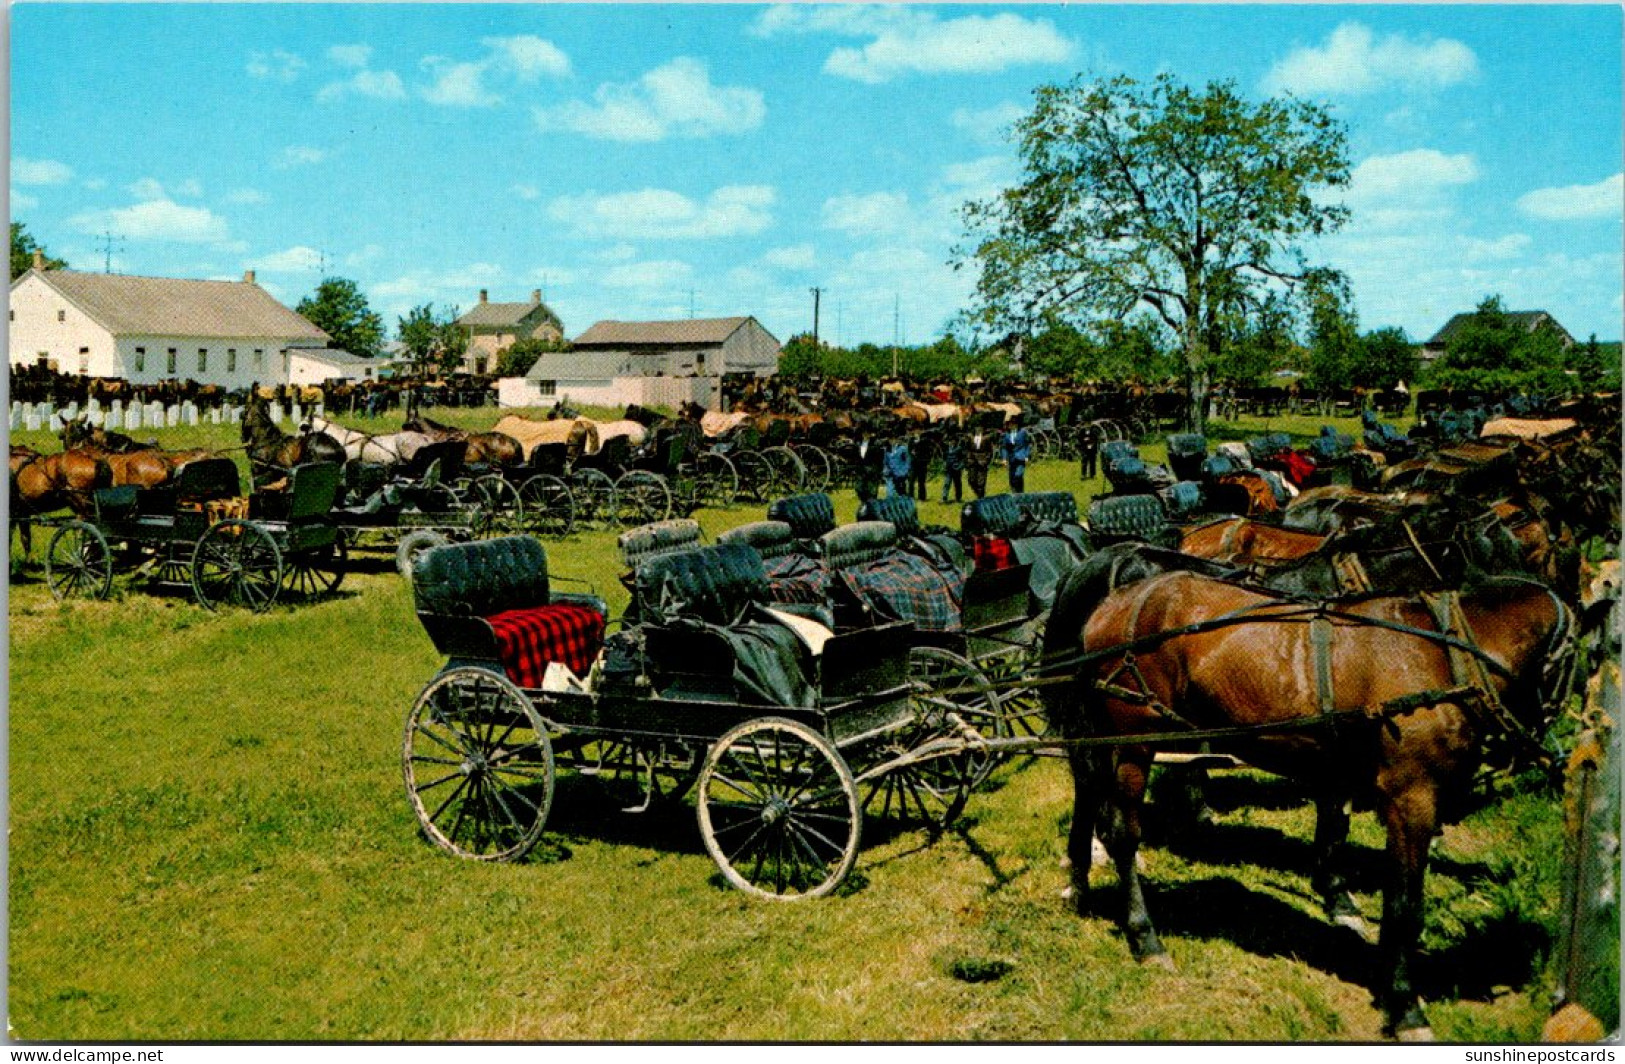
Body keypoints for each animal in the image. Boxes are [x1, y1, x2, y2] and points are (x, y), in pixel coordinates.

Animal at [1040, 571, 1573, 1039]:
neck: (1446, 656)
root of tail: (1113, 603)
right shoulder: (1411, 799)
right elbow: (1404, 904)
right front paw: (1405, 1006)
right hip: (1135, 738)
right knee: (1123, 834)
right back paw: (1146, 937)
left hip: (1109, 735)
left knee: (1087, 791)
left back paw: (1079, 884)